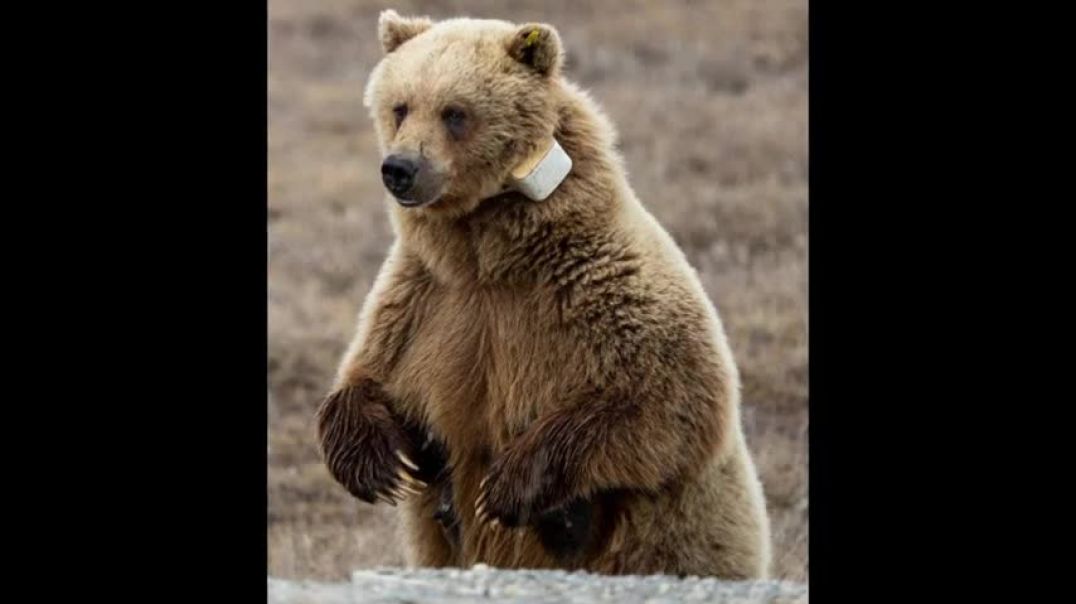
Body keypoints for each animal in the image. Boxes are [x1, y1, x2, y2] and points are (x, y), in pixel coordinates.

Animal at [314, 7, 770, 577]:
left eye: (455, 112)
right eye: (400, 106)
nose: (400, 168)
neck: (488, 255)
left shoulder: (602, 289)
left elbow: (668, 400)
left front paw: (505, 487)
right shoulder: (427, 298)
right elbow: (369, 373)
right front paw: (382, 464)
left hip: (679, 542)